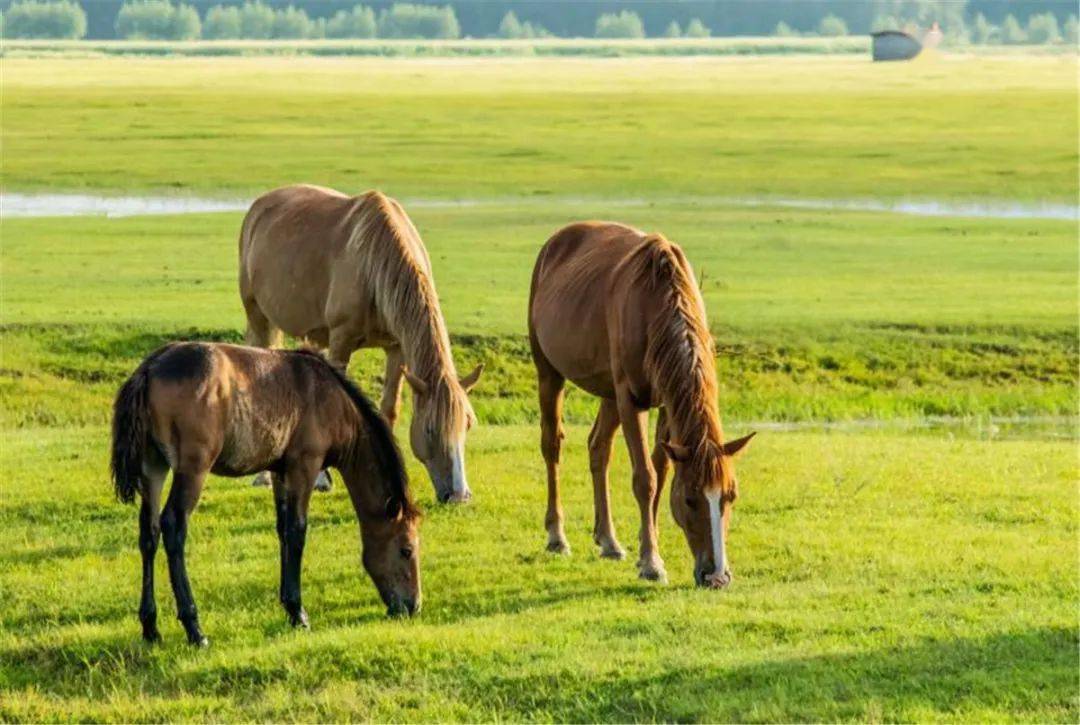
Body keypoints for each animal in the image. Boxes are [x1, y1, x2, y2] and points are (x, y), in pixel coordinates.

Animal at [110, 343, 421, 648]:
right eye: (406, 550)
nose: (413, 606)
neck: (331, 398)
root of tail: (149, 369)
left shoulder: (281, 472)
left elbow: (282, 529)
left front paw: (287, 605)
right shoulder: (304, 466)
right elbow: (297, 531)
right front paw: (298, 613)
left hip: (153, 467)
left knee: (149, 533)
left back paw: (151, 627)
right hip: (193, 468)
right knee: (173, 526)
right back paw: (194, 628)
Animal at [245, 185, 486, 505]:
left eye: (468, 424)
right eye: (431, 429)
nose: (458, 495)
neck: (373, 267)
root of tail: (261, 203)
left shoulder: (397, 349)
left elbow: (389, 410)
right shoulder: (341, 341)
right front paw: (321, 479)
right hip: (259, 317)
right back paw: (263, 476)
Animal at [529, 222, 751, 587]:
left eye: (730, 495)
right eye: (690, 499)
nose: (716, 576)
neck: (656, 305)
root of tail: (555, 242)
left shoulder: (665, 404)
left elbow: (660, 473)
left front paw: (649, 545)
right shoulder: (632, 400)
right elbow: (644, 478)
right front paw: (651, 562)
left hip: (608, 392)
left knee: (598, 448)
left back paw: (608, 540)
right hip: (550, 373)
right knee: (551, 447)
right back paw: (556, 536)